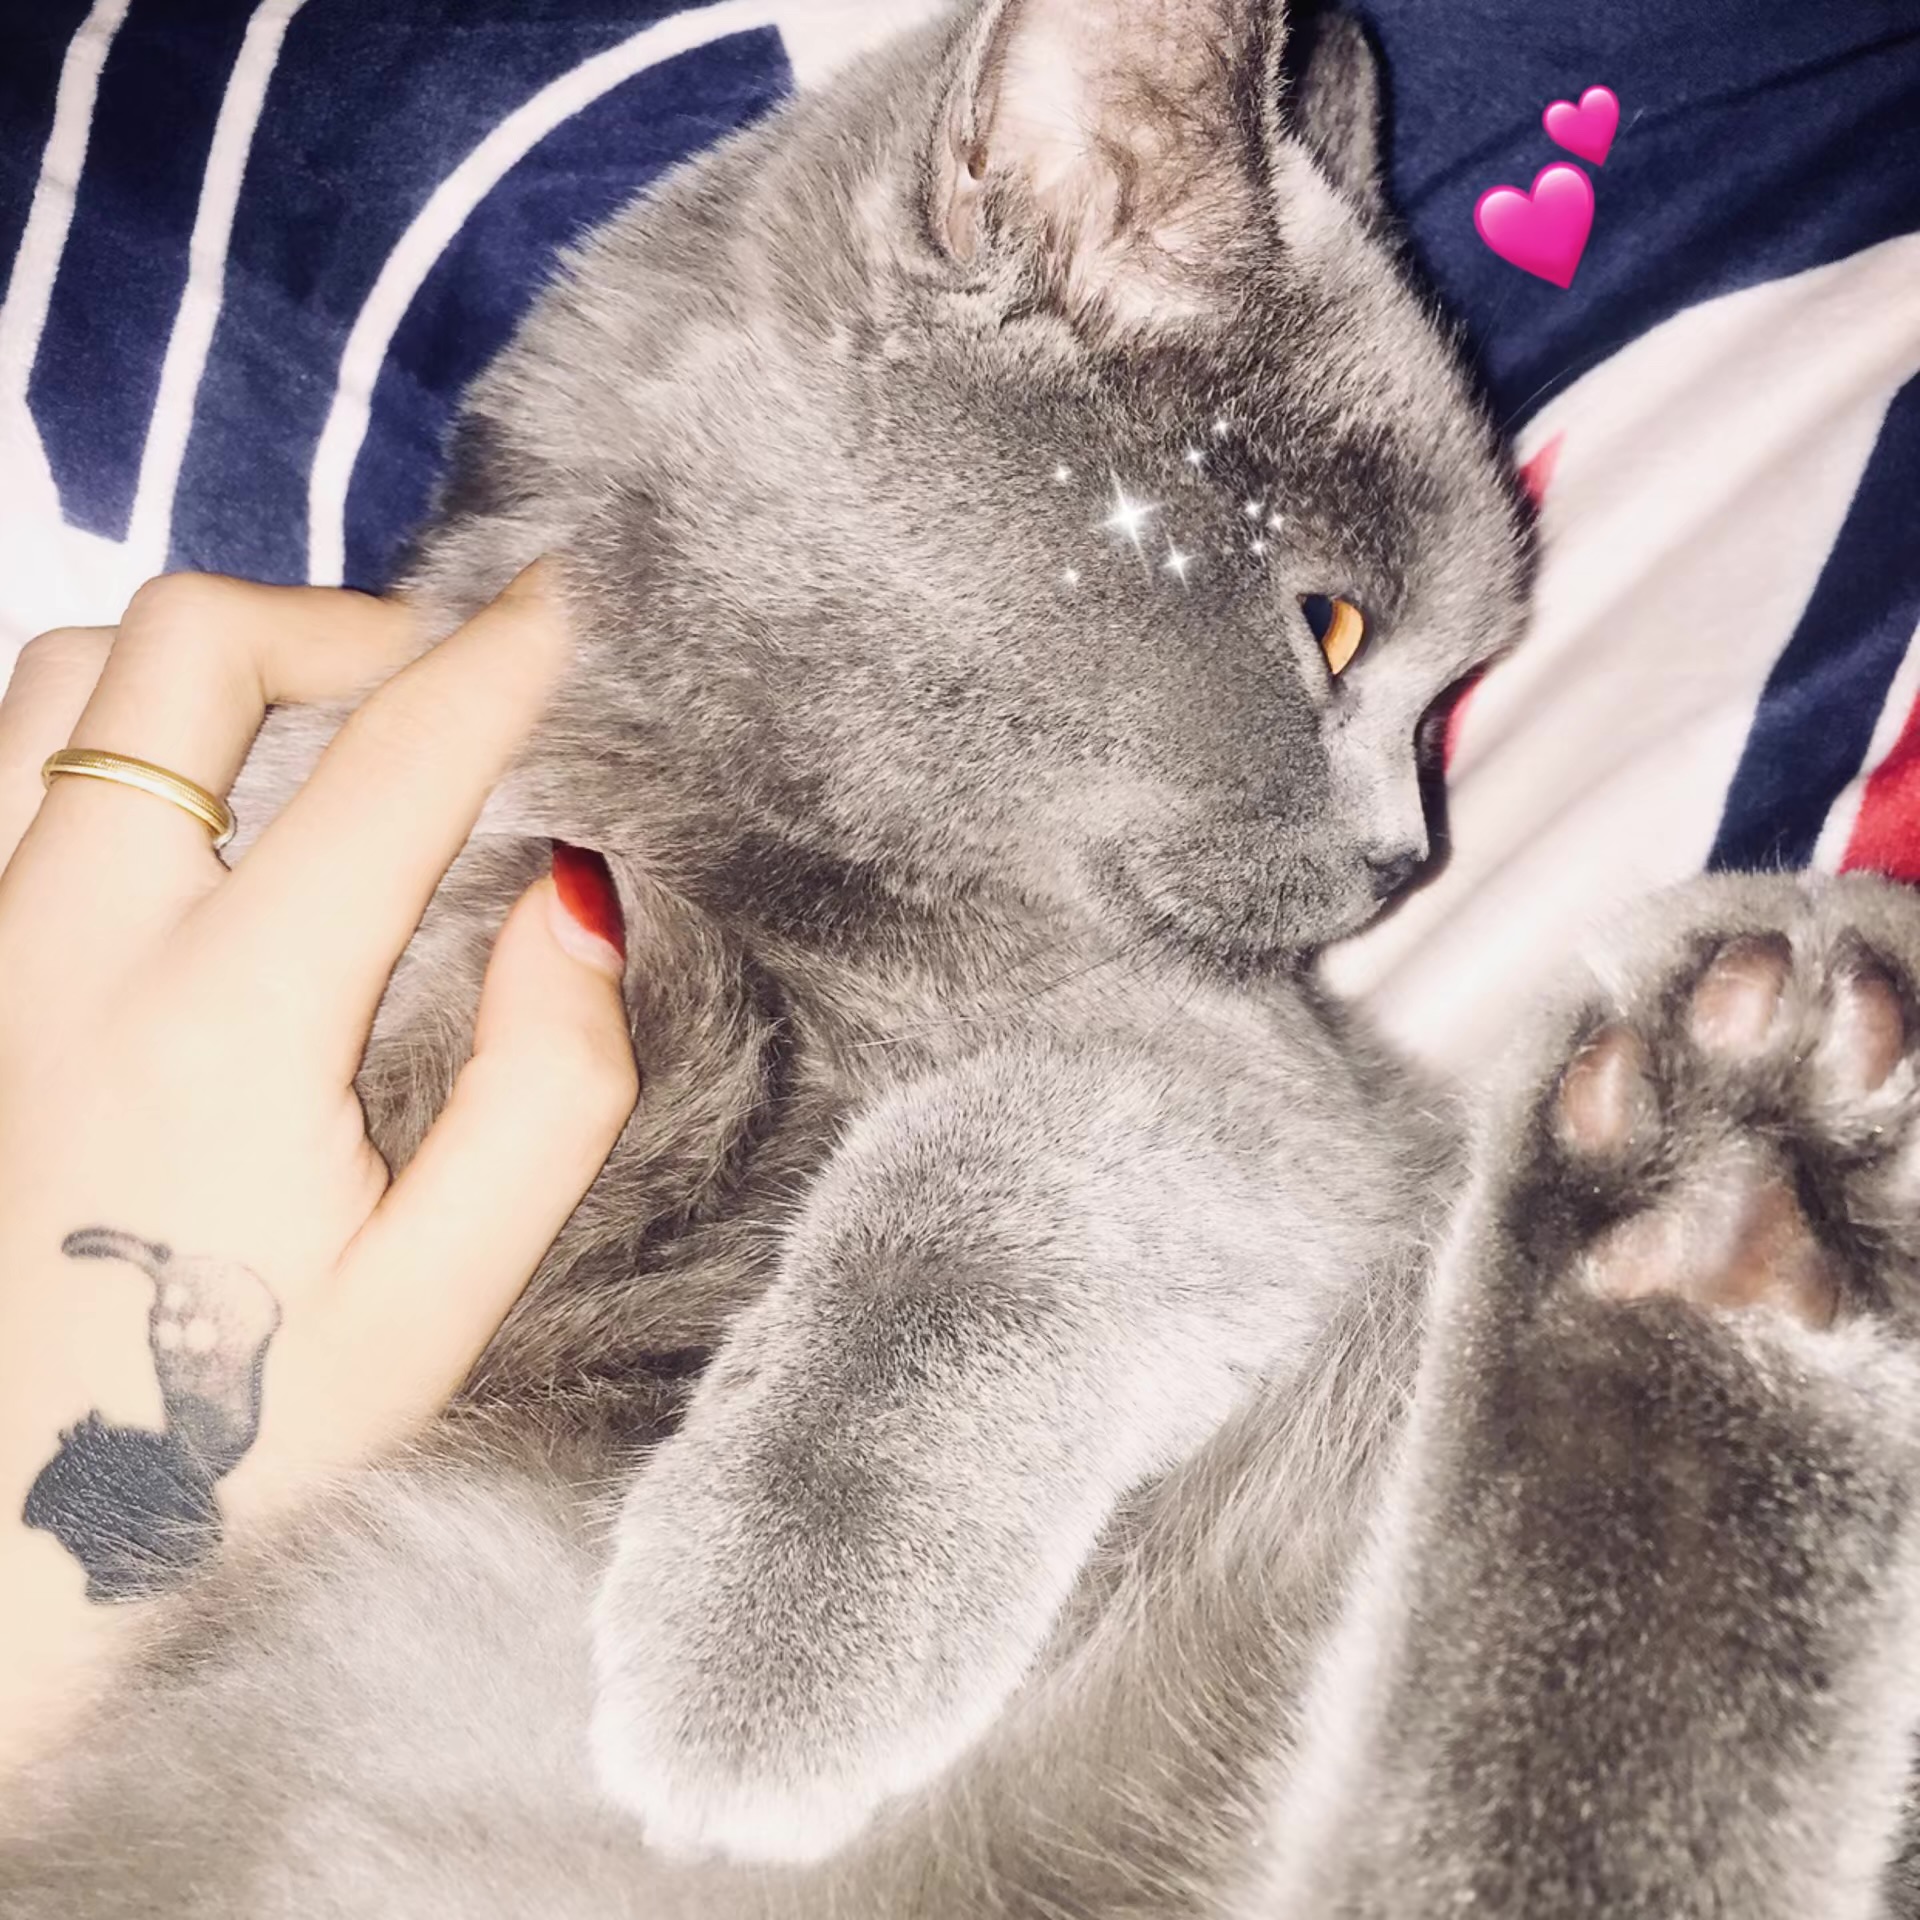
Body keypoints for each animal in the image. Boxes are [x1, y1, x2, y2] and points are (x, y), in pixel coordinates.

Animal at [7, 0, 1920, 1914]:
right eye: (1332, 627)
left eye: (1446, 696)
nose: (1408, 852)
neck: (778, 840)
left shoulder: (1289, 1088)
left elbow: (993, 1166)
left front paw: (772, 1627)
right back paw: (1727, 1224)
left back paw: (1744, 1190)